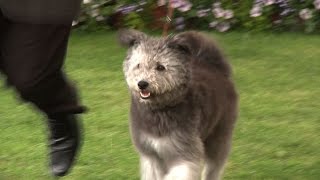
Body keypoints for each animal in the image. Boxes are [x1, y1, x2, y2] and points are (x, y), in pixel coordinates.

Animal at [117, 29, 238, 180]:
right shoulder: (151, 155)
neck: (160, 110)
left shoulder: (185, 152)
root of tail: (216, 68)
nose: (142, 84)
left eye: (160, 67)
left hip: (219, 136)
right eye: (138, 65)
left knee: (214, 167)